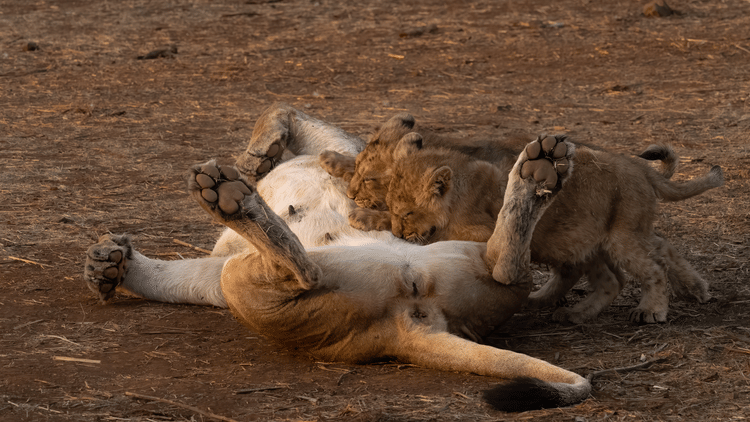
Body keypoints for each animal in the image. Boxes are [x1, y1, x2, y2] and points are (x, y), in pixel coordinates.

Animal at [83, 103, 593, 412]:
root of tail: (406, 328)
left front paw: (258, 153)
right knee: (508, 266)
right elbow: (175, 278)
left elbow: (284, 109)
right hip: (463, 256)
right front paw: (108, 265)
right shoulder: (215, 267)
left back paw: (228, 194)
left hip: (243, 275)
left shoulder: (341, 149)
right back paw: (538, 170)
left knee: (304, 270)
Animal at [385, 131, 724, 323]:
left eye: (407, 213)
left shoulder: (485, 240)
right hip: (582, 240)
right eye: (389, 208)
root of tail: (639, 168)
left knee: (653, 267)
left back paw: (652, 310)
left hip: (620, 237)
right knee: (619, 274)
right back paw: (571, 312)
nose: (398, 234)